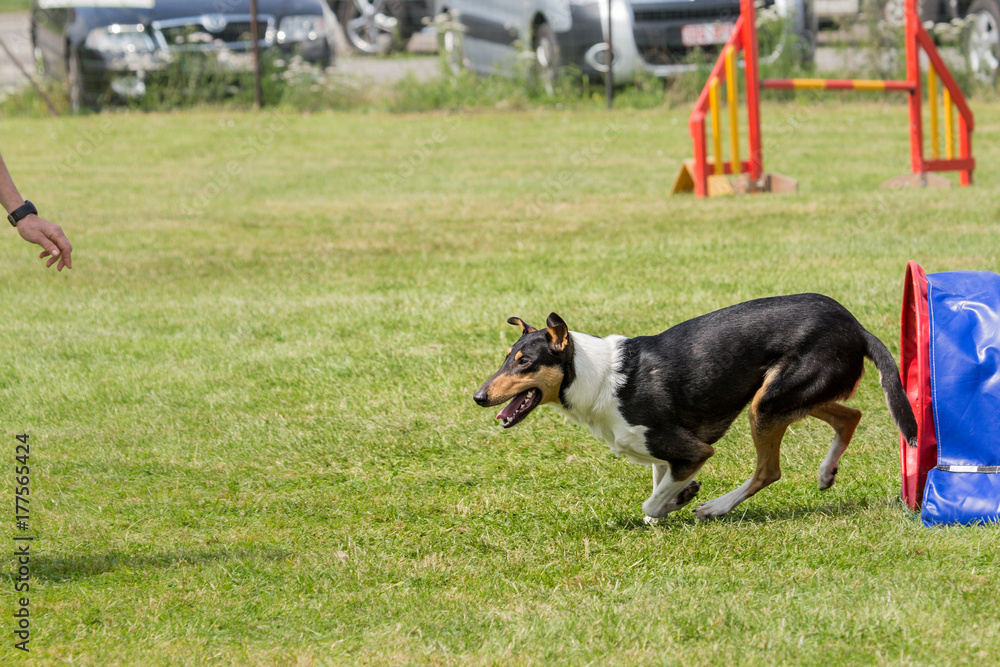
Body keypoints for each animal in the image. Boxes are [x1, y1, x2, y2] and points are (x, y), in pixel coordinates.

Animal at [472, 296, 916, 520]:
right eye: (507, 358)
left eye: (524, 362)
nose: (478, 396)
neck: (594, 377)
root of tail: (855, 325)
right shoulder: (661, 456)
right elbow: (657, 493)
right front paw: (674, 501)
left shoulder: (692, 451)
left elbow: (651, 503)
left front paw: (682, 498)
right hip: (787, 396)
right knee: (850, 416)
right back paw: (826, 474)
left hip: (767, 404)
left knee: (768, 471)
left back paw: (716, 507)